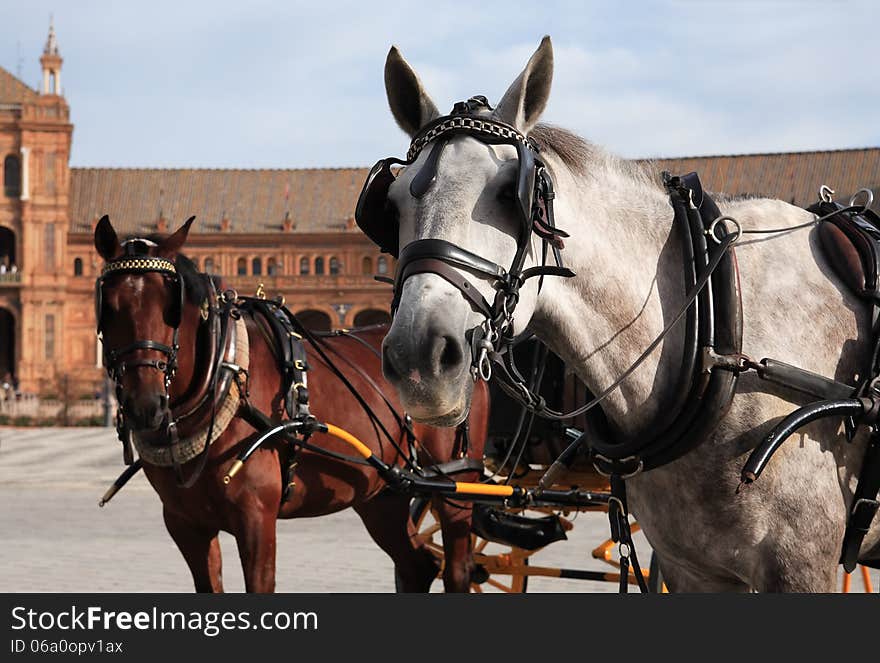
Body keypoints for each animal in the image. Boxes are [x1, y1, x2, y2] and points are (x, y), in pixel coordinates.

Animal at [93, 215, 492, 592]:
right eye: (107, 306)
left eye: (172, 306)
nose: (145, 404)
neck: (222, 382)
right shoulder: (184, 524)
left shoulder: (256, 517)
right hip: (384, 492)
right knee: (417, 565)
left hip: (456, 483)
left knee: (456, 569)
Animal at [376, 36, 880, 592]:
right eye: (390, 206)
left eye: (512, 193)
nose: (418, 358)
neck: (717, 345)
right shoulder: (691, 566)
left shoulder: (801, 564)